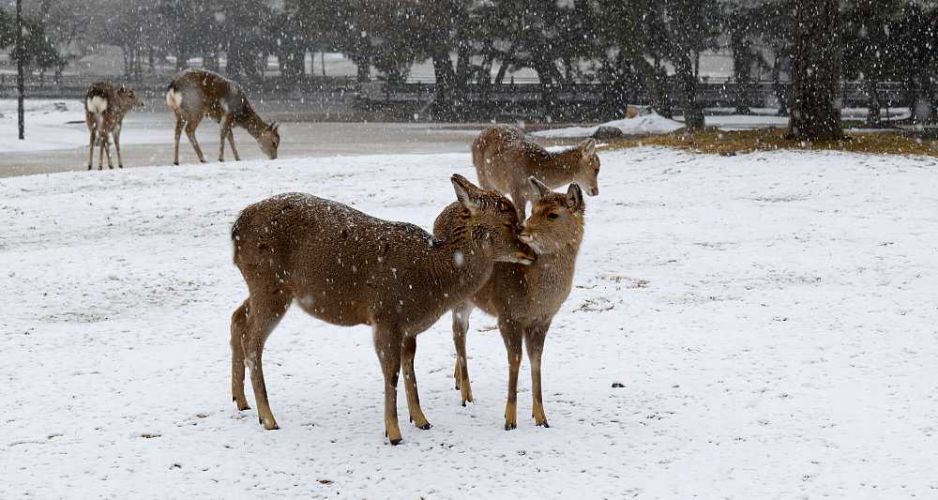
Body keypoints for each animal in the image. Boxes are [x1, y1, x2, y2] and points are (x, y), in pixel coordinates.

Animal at [228, 174, 532, 444]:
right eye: (509, 221)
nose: (531, 252)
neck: (431, 282)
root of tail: (235, 229)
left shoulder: (408, 327)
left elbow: (409, 366)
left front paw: (421, 420)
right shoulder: (387, 315)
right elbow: (392, 371)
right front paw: (394, 433)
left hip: (262, 288)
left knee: (237, 317)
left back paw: (241, 401)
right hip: (270, 285)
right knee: (253, 339)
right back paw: (268, 418)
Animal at [434, 179, 584, 430]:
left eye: (553, 214)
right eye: (533, 209)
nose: (522, 229)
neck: (534, 295)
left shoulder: (543, 320)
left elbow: (536, 360)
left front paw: (541, 418)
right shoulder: (507, 314)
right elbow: (515, 360)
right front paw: (510, 420)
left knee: (464, 330)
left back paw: (457, 380)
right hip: (460, 294)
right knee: (457, 332)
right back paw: (467, 395)